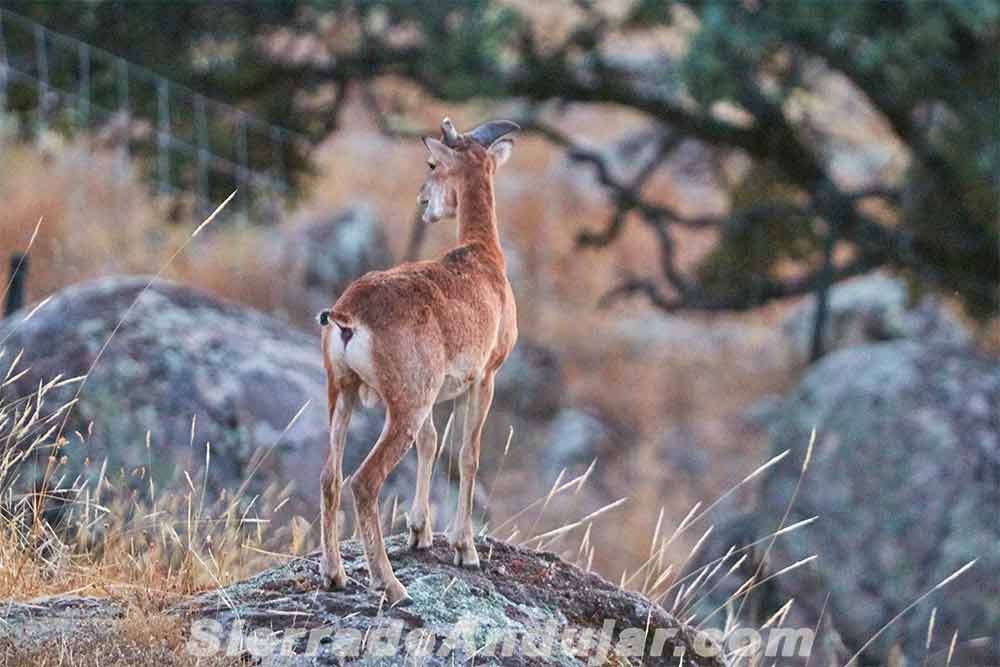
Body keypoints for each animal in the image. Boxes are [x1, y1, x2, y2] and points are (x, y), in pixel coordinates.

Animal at [317, 117, 519, 605]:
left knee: (331, 476)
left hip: (343, 394)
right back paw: (391, 586)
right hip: (401, 408)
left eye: (431, 164)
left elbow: (431, 444)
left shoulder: (434, 394)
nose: (423, 202)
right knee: (363, 481)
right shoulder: (484, 379)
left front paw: (419, 532)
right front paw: (465, 550)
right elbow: (468, 455)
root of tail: (347, 316)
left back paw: (335, 575)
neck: (482, 258)